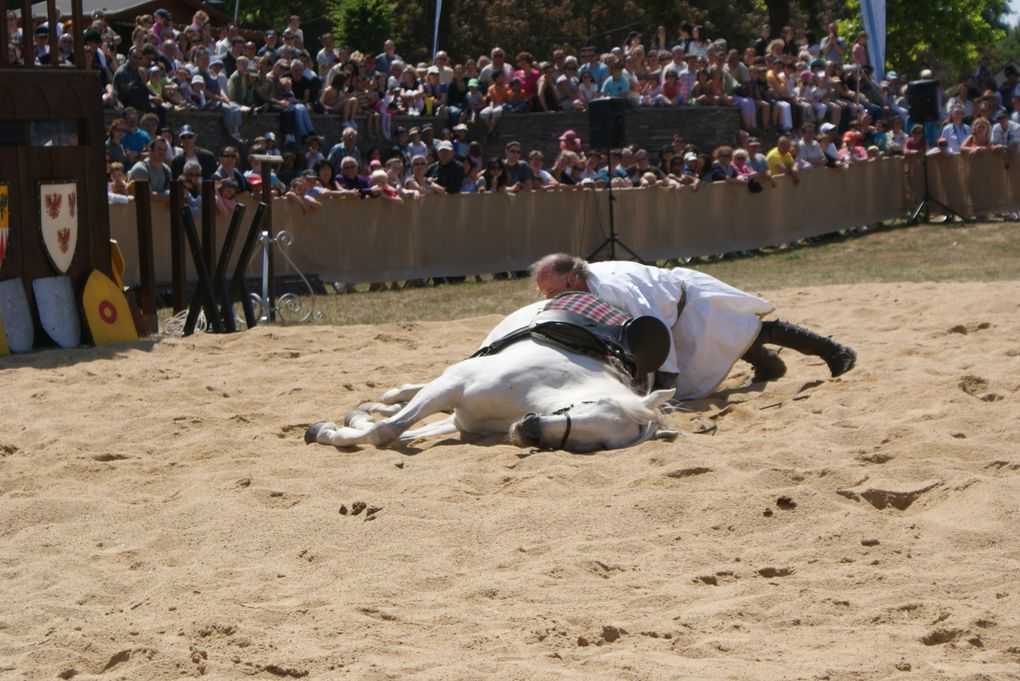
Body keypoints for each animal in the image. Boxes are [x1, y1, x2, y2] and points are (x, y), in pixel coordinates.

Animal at [306, 297, 681, 452]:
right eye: (594, 404)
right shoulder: (453, 386)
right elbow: (387, 431)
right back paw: (389, 398)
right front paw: (328, 430)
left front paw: (343, 426)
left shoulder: (461, 421)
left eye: (600, 445)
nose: (530, 431)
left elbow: (393, 433)